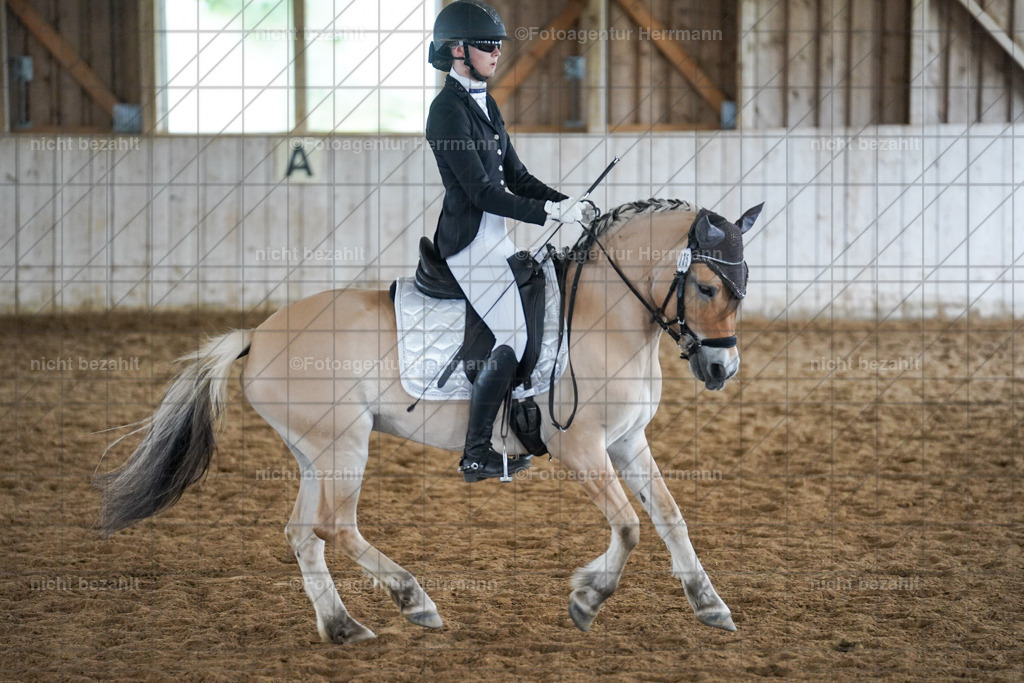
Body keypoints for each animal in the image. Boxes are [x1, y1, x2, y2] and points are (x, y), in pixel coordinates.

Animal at [95, 197, 761, 645]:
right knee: (335, 526)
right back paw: (413, 600)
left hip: (316, 453)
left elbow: (670, 517)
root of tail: (256, 335)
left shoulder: (627, 442)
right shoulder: (582, 448)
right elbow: (628, 526)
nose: (720, 368)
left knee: (303, 533)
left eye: (744, 284)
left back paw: (343, 626)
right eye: (706, 286)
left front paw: (710, 606)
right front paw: (587, 599)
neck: (606, 314)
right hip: (344, 446)